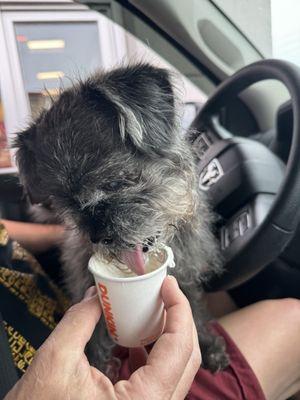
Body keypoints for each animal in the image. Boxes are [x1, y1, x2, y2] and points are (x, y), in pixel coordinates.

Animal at [15, 61, 229, 376]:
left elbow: (196, 310)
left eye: (114, 182)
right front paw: (99, 367)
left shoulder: (186, 278)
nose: (96, 237)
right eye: (67, 204)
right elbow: (96, 338)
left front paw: (209, 345)